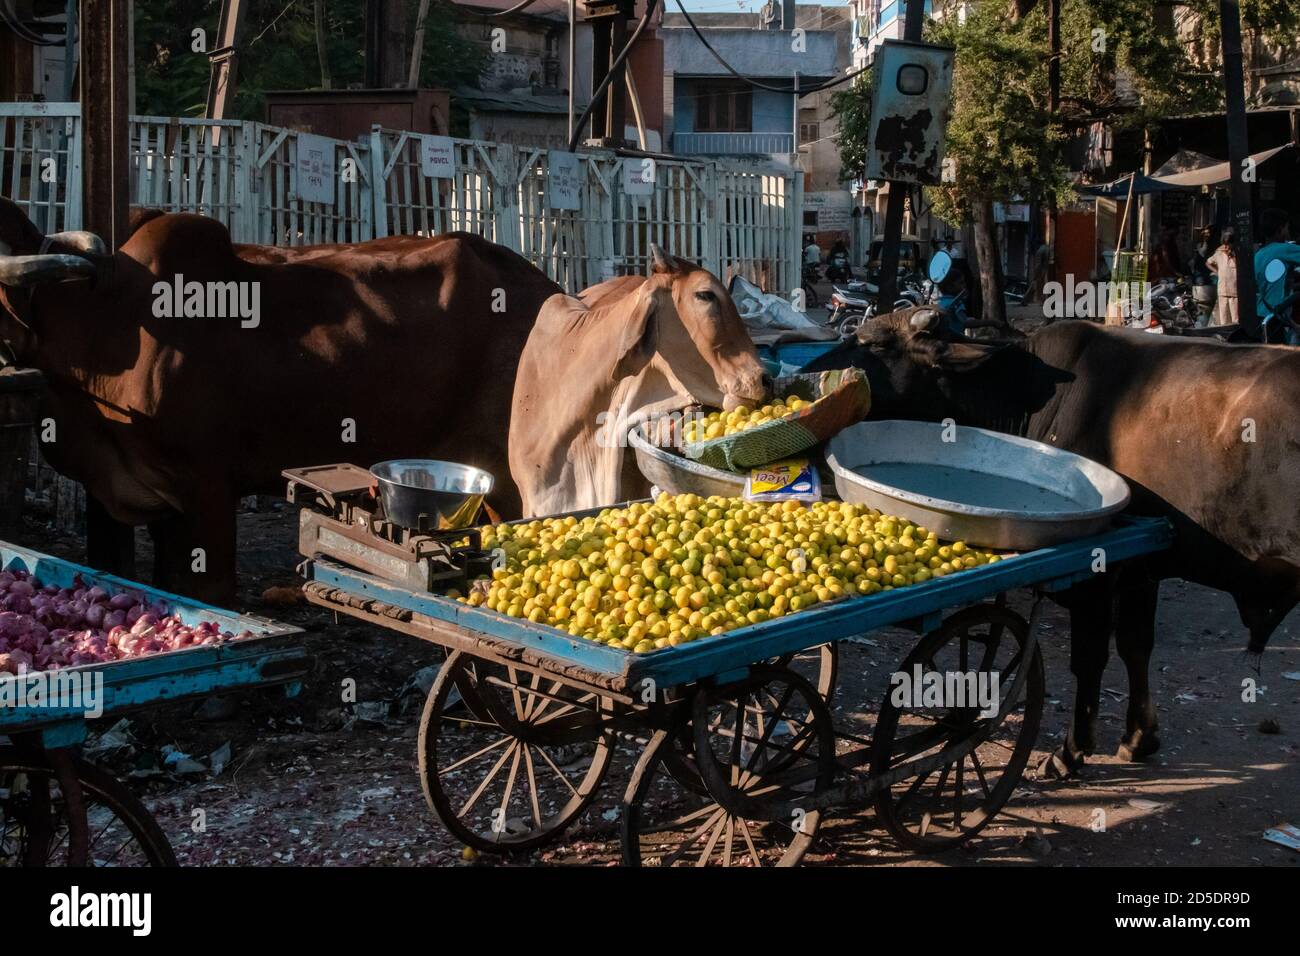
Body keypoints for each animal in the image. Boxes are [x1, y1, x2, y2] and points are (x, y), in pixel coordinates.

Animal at [811, 314, 1300, 780]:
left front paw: (1072, 751)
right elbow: (1136, 647)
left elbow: (1090, 658)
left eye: (875, 343)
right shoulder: (1144, 563)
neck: (1027, 394)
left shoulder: (1101, 572)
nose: (803, 372)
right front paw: (1139, 738)